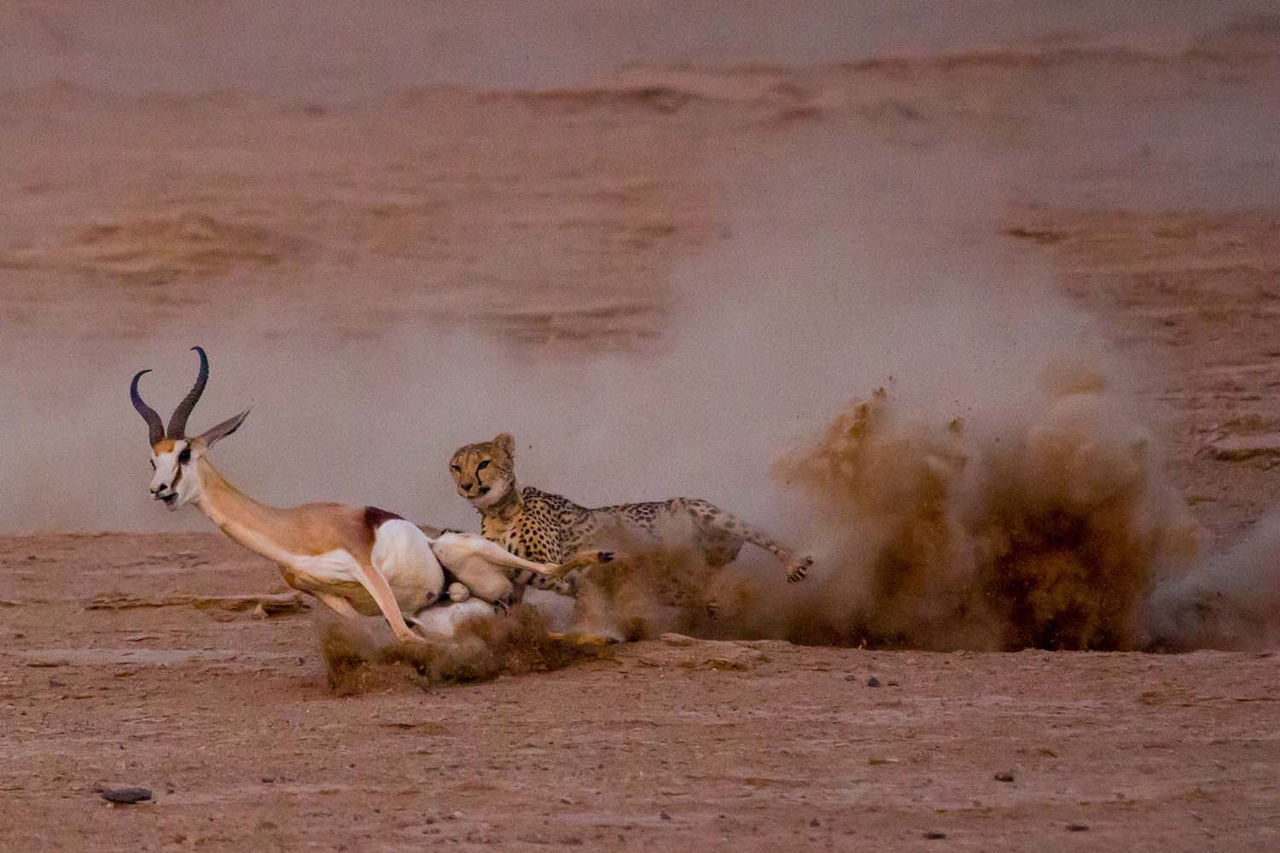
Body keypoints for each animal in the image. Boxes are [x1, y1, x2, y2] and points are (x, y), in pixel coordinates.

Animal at [447, 433, 812, 603]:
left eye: (483, 463)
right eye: (456, 466)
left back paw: (793, 563)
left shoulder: (548, 562)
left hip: (696, 509)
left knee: (758, 535)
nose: (466, 485)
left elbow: (545, 570)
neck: (499, 511)